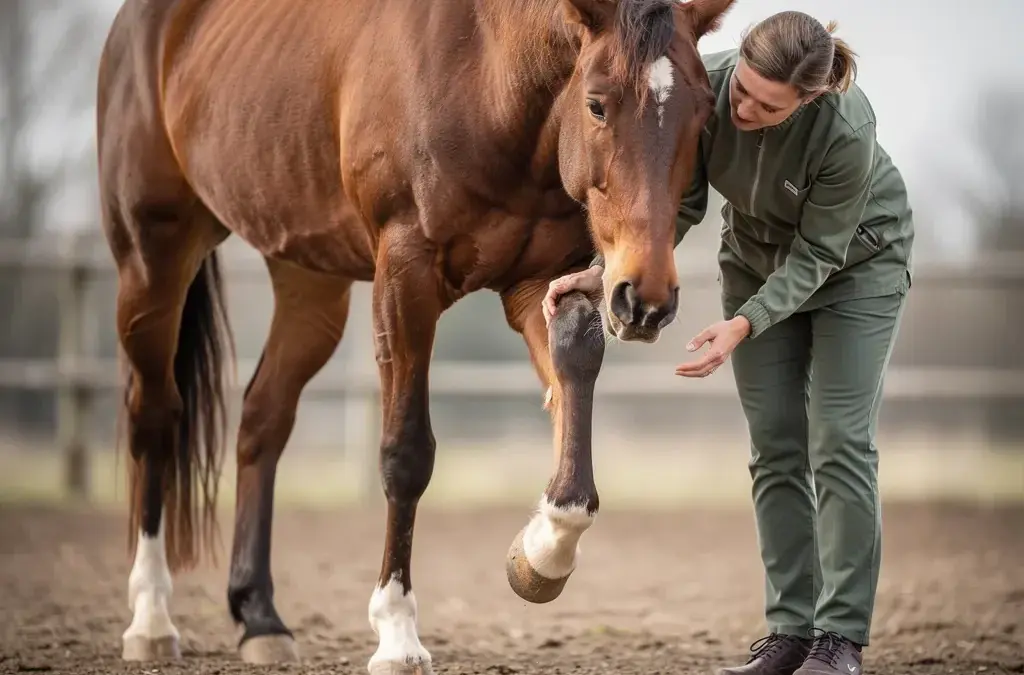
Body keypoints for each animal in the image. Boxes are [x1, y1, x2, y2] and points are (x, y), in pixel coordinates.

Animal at [96, 0, 735, 671]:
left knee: (262, 419)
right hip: (153, 257)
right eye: (597, 104)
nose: (646, 299)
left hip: (308, 281)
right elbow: (405, 454)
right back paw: (151, 617)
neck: (486, 70)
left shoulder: (545, 278)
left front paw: (543, 549)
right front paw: (397, 631)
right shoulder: (405, 277)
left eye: (702, 113)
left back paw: (259, 617)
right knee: (154, 416)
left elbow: (572, 386)